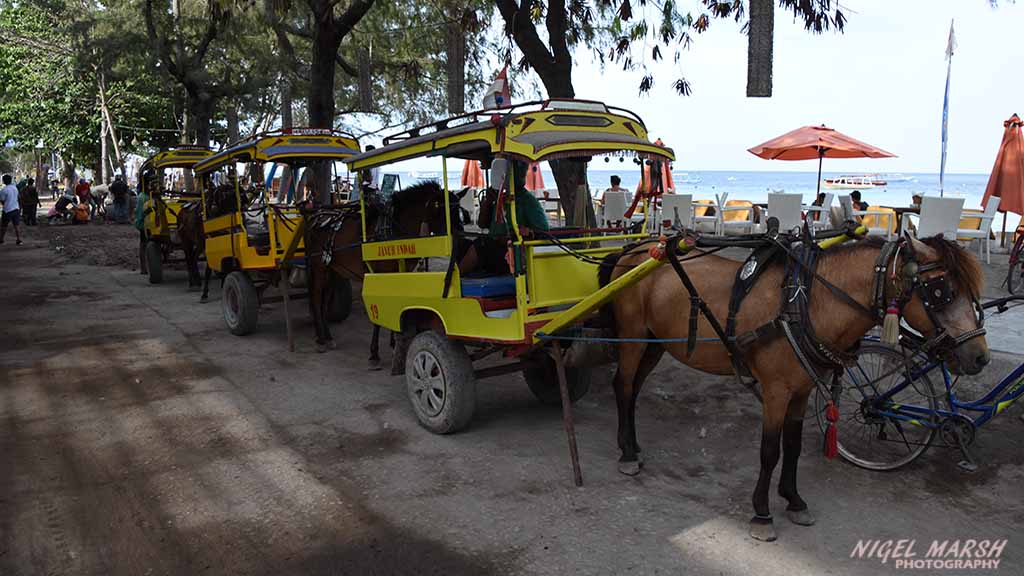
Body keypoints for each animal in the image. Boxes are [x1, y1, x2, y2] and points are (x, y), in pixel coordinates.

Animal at [299, 181, 468, 364]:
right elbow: (379, 317)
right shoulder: (379, 276)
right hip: (319, 268)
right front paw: (374, 353)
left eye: (460, 213)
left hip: (333, 270)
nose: (463, 242)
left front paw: (394, 342)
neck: (394, 232)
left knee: (324, 301)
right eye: (444, 212)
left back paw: (327, 337)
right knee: (316, 298)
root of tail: (315, 217)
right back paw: (321, 339)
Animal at [598, 231, 987, 537]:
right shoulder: (776, 392)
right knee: (623, 386)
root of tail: (632, 250)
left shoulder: (801, 391)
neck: (804, 302)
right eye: (942, 291)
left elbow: (794, 445)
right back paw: (628, 453)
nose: (979, 356)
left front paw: (794, 500)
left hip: (654, 343)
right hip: (633, 337)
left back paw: (631, 444)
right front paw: (761, 513)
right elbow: (770, 450)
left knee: (633, 389)